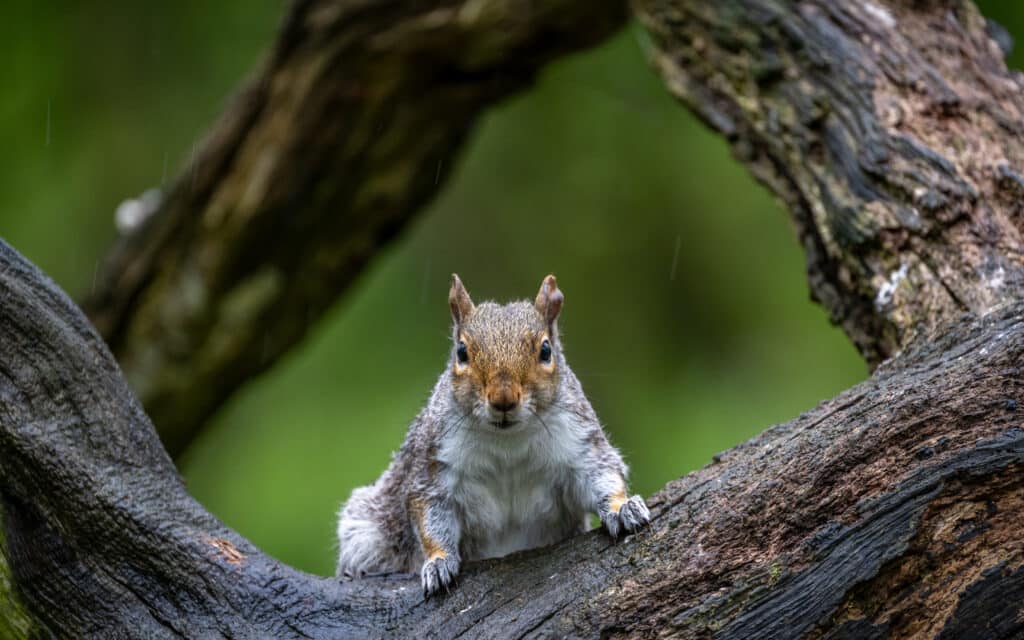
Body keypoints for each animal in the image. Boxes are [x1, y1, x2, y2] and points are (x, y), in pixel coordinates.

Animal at [335, 274, 650, 597]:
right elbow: (430, 515)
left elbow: (601, 474)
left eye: (545, 351)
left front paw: (622, 508)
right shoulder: (433, 465)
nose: (503, 399)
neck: (507, 442)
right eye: (461, 352)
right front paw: (439, 561)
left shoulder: (579, 441)